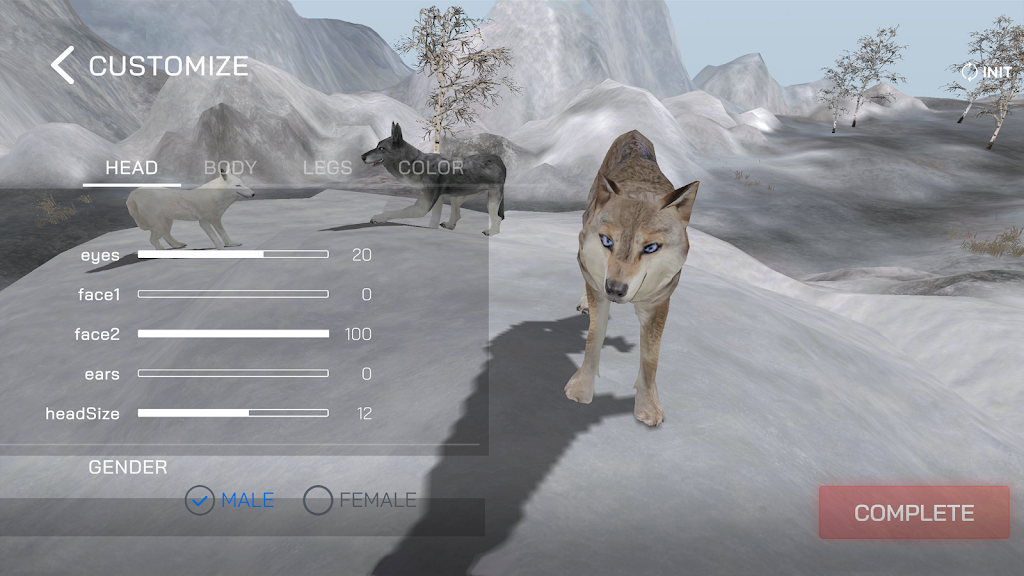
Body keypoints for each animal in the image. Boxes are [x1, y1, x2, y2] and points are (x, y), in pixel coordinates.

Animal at [126, 167, 256, 250]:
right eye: (238, 185)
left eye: (243, 183)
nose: (253, 194)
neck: (216, 196)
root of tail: (134, 193)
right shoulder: (204, 222)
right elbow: (216, 239)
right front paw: (221, 249)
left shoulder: (216, 220)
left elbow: (224, 234)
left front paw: (231, 244)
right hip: (158, 224)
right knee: (153, 239)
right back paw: (162, 252)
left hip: (166, 222)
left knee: (165, 234)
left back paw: (177, 245)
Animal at [360, 122, 506, 235]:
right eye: (376, 146)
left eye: (381, 148)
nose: (362, 156)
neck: (414, 163)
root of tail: (499, 159)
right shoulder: (438, 199)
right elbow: (434, 221)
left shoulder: (424, 205)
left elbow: (397, 211)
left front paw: (379, 217)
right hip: (458, 196)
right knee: (457, 212)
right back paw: (450, 225)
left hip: (491, 201)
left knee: (497, 218)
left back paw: (491, 232)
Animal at [565, 130, 698, 426]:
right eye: (607, 241)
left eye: (651, 248)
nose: (615, 289)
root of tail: (635, 133)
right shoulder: (599, 292)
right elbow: (594, 338)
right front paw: (581, 390)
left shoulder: (658, 304)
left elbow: (650, 358)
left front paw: (647, 407)